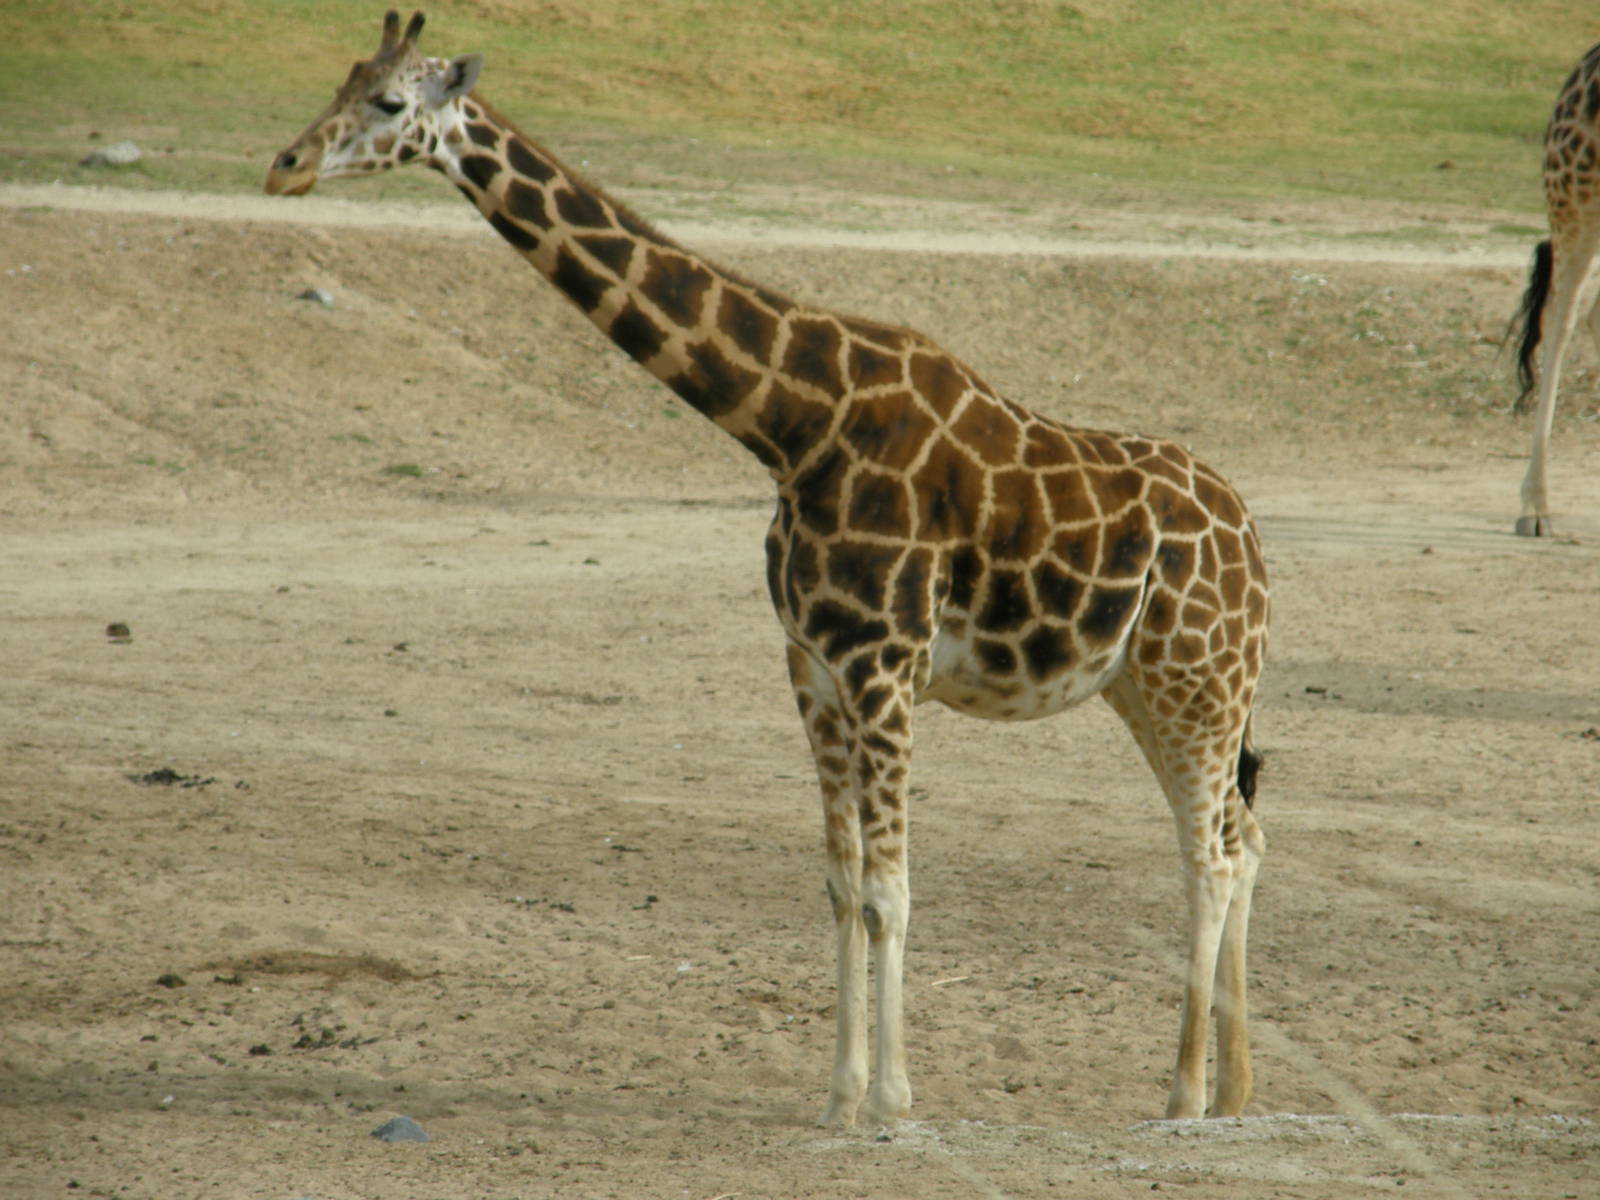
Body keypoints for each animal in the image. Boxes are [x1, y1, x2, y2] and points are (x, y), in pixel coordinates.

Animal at [266, 11, 1271, 1125]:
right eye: (344, 79)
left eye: (390, 101)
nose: (284, 165)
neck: (791, 423)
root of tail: (1251, 540)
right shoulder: (812, 665)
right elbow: (839, 882)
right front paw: (838, 1098)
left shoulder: (884, 663)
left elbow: (889, 889)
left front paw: (895, 1101)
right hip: (1151, 684)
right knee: (1242, 838)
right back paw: (1236, 1092)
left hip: (1196, 679)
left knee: (1210, 853)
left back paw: (1185, 1095)